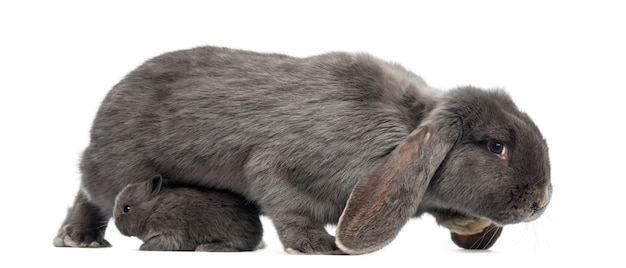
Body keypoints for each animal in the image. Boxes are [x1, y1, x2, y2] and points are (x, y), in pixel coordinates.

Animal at [113, 175, 262, 252]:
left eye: (127, 208)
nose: (115, 223)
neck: (153, 209)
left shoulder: (169, 231)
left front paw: (143, 247)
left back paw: (206, 247)